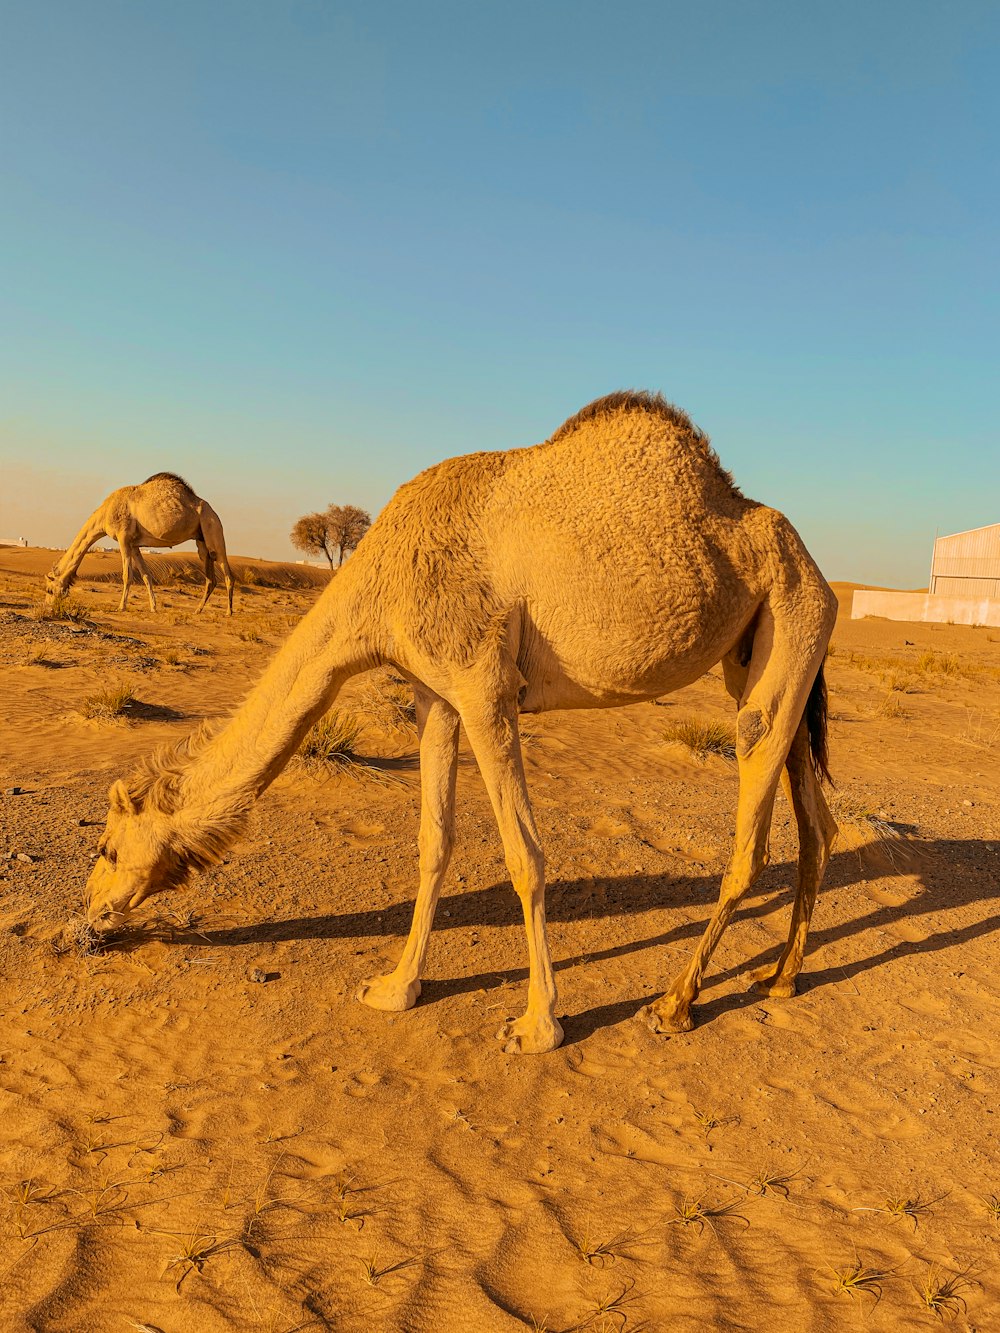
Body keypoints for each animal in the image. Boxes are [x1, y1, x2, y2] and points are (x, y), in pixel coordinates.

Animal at [45, 474, 238, 613]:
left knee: (227, 572)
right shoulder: (134, 544)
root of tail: (213, 511)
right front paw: (153, 607)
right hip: (201, 539)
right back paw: (197, 610)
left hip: (212, 526)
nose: (49, 606)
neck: (105, 513)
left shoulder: (123, 537)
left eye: (49, 590)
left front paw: (121, 607)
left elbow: (127, 575)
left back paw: (228, 612)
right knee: (210, 577)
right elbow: (146, 575)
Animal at [86, 389, 842, 1055]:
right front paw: (396, 987)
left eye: (109, 848)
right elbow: (434, 840)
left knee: (752, 832)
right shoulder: (435, 695)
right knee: (819, 825)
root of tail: (819, 568)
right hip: (772, 652)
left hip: (791, 617)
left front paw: (538, 1026)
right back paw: (780, 977)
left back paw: (676, 1002)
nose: (91, 914)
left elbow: (525, 855)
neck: (380, 581)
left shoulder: (483, 687)